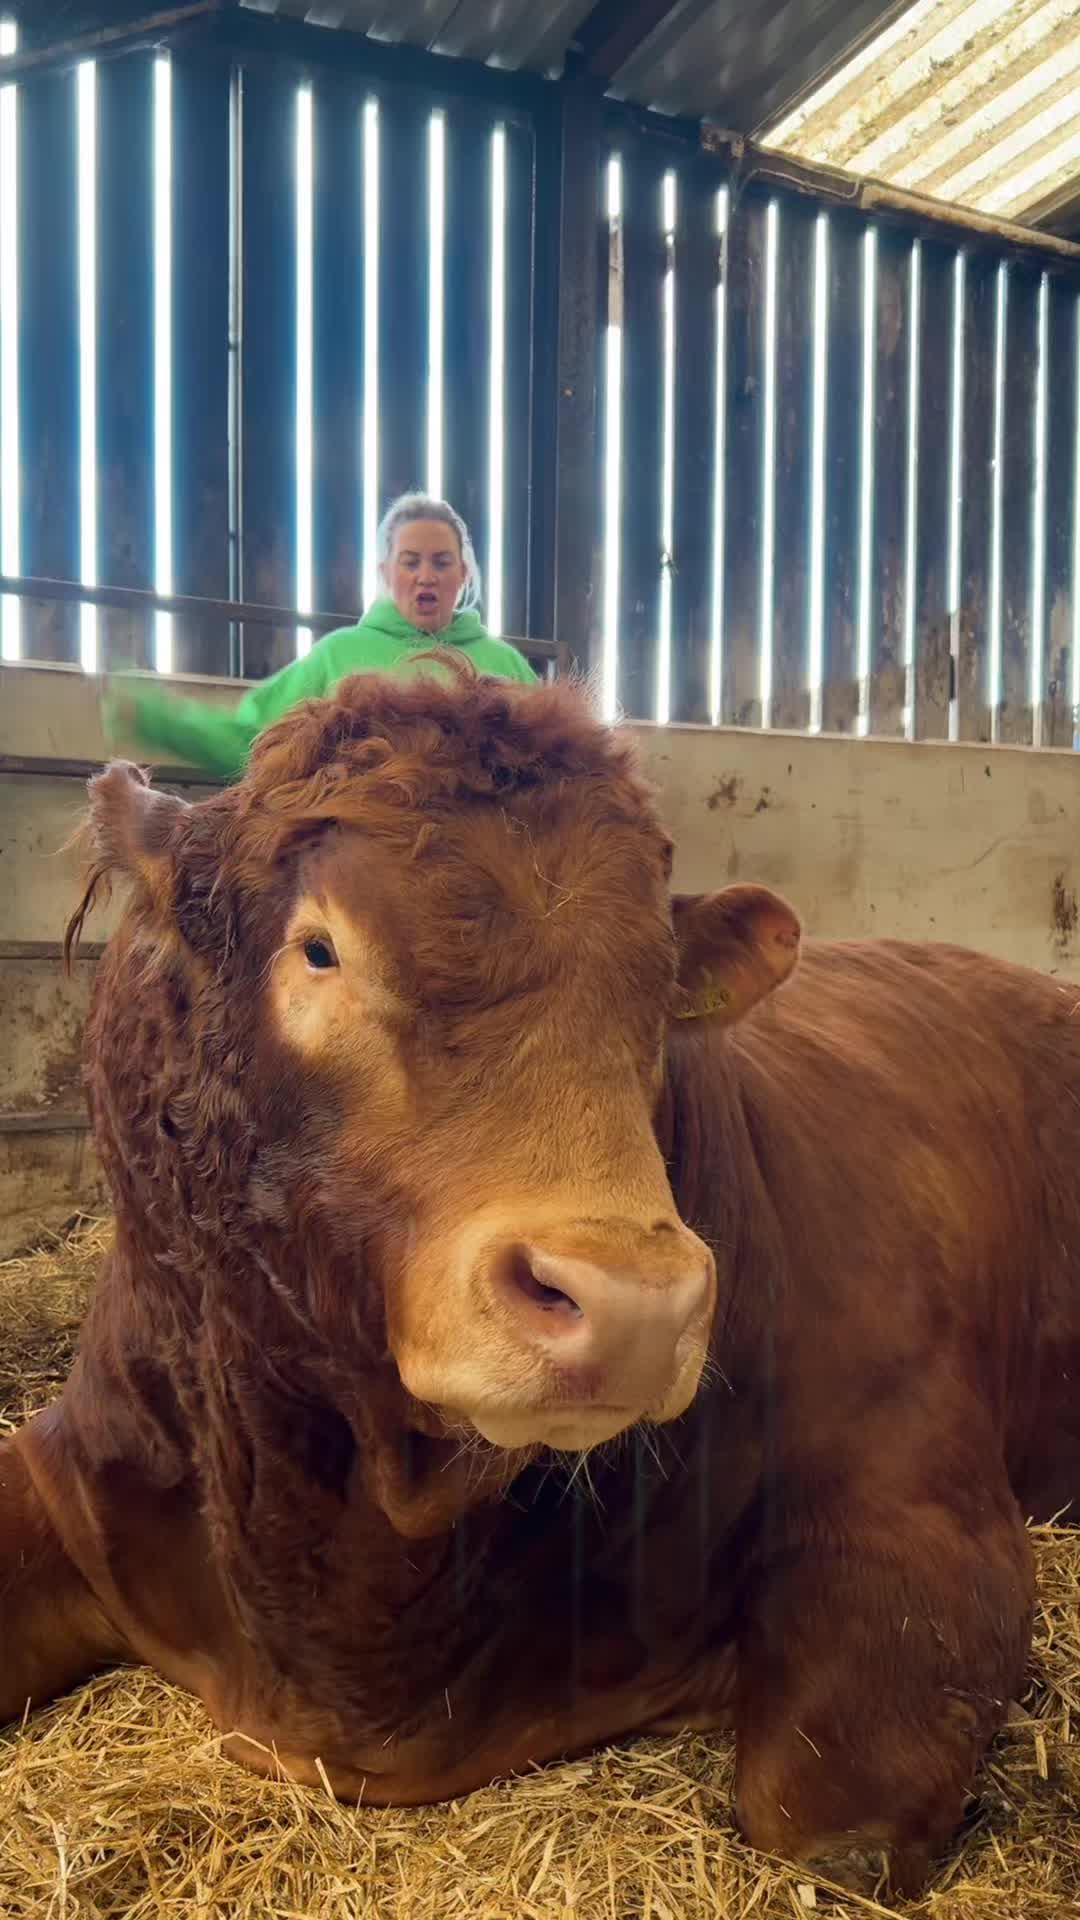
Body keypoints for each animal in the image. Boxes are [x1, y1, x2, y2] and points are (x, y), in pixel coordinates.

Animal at [2, 663, 1078, 1898]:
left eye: (658, 993)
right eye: (319, 950)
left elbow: (822, 1813)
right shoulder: (79, 1469)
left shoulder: (924, 1522)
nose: (634, 1305)